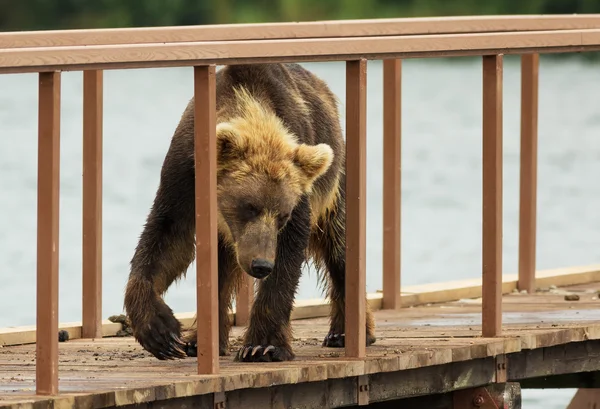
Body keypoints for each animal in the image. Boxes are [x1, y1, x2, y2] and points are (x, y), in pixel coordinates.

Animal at [123, 62, 376, 362]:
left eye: (283, 215)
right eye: (249, 206)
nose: (261, 264)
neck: (250, 103)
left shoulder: (299, 192)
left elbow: (288, 258)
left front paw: (263, 346)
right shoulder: (184, 174)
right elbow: (167, 238)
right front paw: (161, 331)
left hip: (335, 185)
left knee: (341, 249)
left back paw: (347, 333)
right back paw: (201, 341)